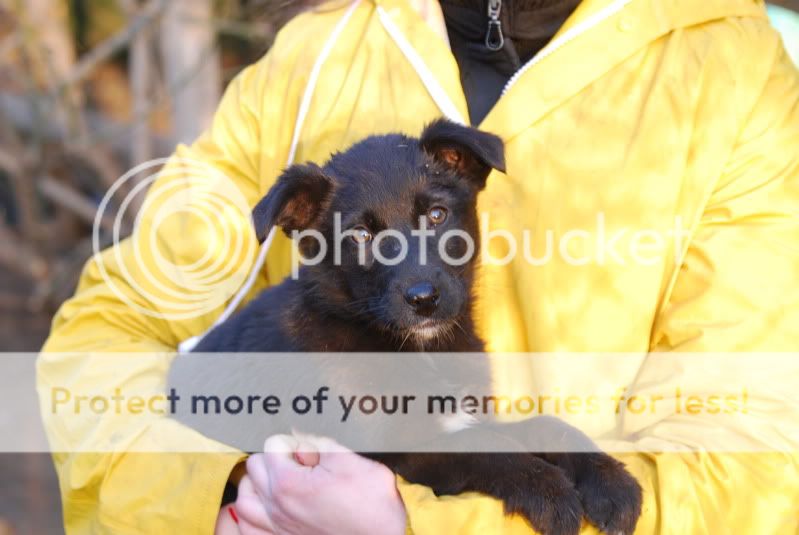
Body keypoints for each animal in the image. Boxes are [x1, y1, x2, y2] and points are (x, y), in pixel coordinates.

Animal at [170, 120, 644, 535]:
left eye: (436, 214)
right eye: (360, 235)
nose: (423, 298)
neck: (421, 351)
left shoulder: (467, 414)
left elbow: (542, 425)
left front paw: (611, 482)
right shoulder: (399, 450)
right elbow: (485, 447)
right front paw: (548, 490)